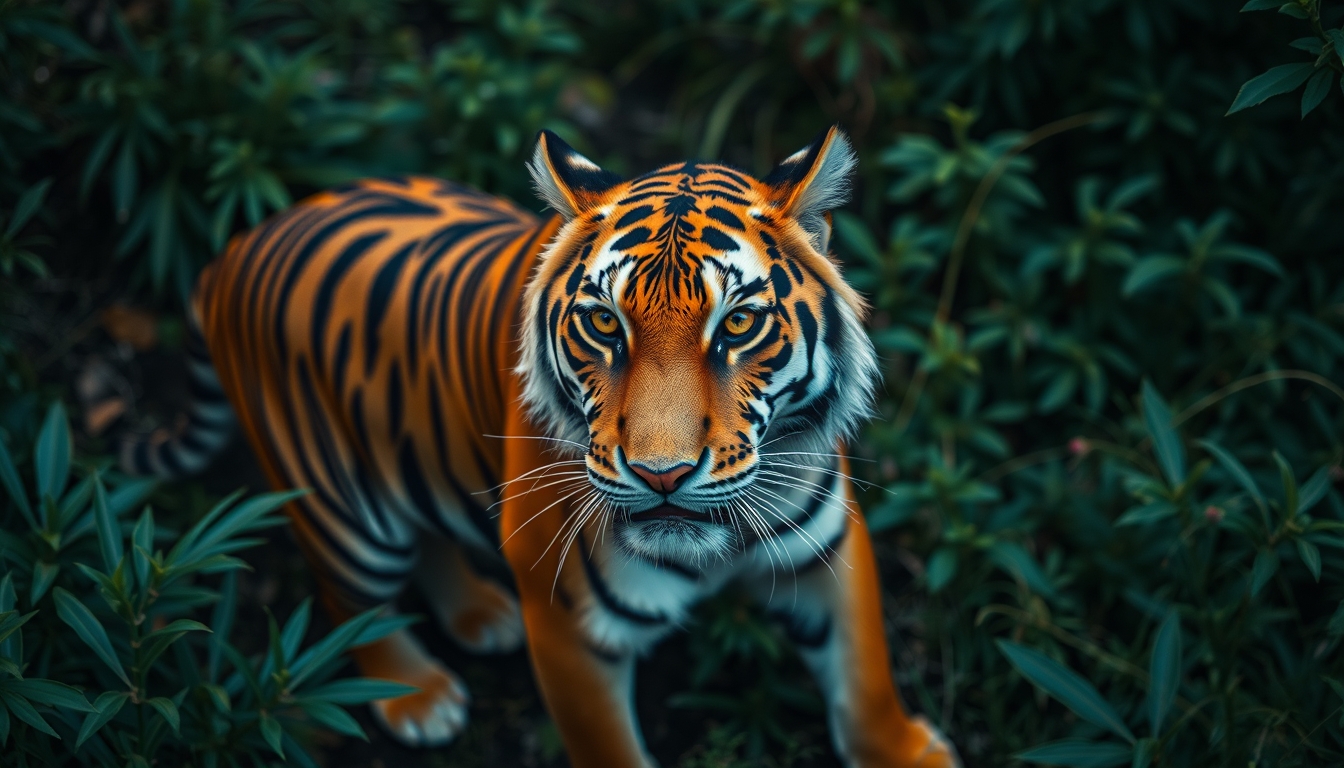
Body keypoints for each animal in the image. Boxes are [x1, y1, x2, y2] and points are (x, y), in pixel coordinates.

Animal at [122, 126, 959, 767]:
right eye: (604, 324)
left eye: (739, 324)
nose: (661, 475)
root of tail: (233, 250)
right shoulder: (569, 621)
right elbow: (608, 747)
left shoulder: (827, 551)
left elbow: (864, 675)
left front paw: (909, 754)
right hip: (343, 512)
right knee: (347, 599)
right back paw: (415, 695)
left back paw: (480, 616)